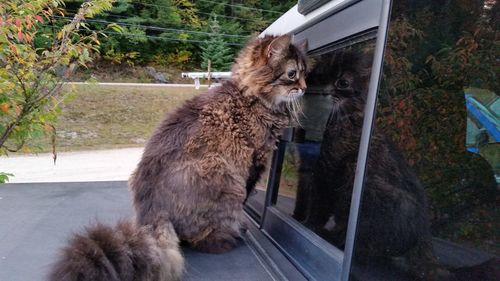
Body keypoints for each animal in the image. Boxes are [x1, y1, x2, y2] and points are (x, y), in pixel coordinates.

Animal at [48, 35, 306, 280]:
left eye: (305, 73)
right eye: (293, 73)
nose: (304, 87)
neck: (249, 96)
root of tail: (151, 212)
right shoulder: (255, 163)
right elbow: (244, 202)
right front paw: (242, 223)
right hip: (224, 177)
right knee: (201, 238)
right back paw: (230, 237)